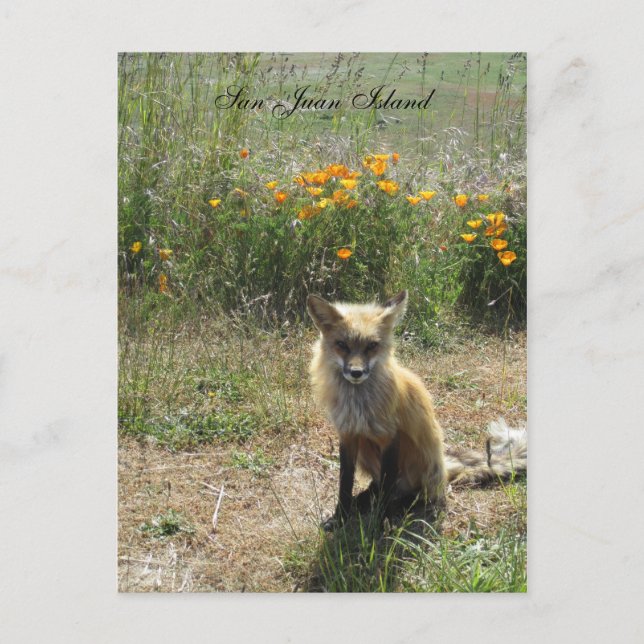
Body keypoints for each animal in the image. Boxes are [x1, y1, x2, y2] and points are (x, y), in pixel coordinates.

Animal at [306, 289, 526, 528]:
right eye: (342, 345)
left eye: (371, 346)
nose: (356, 372)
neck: (358, 405)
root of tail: (444, 465)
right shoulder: (348, 435)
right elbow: (344, 485)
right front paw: (340, 518)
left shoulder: (390, 436)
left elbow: (386, 486)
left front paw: (380, 524)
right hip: (366, 446)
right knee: (378, 485)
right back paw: (365, 499)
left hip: (420, 466)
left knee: (416, 494)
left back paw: (399, 505)